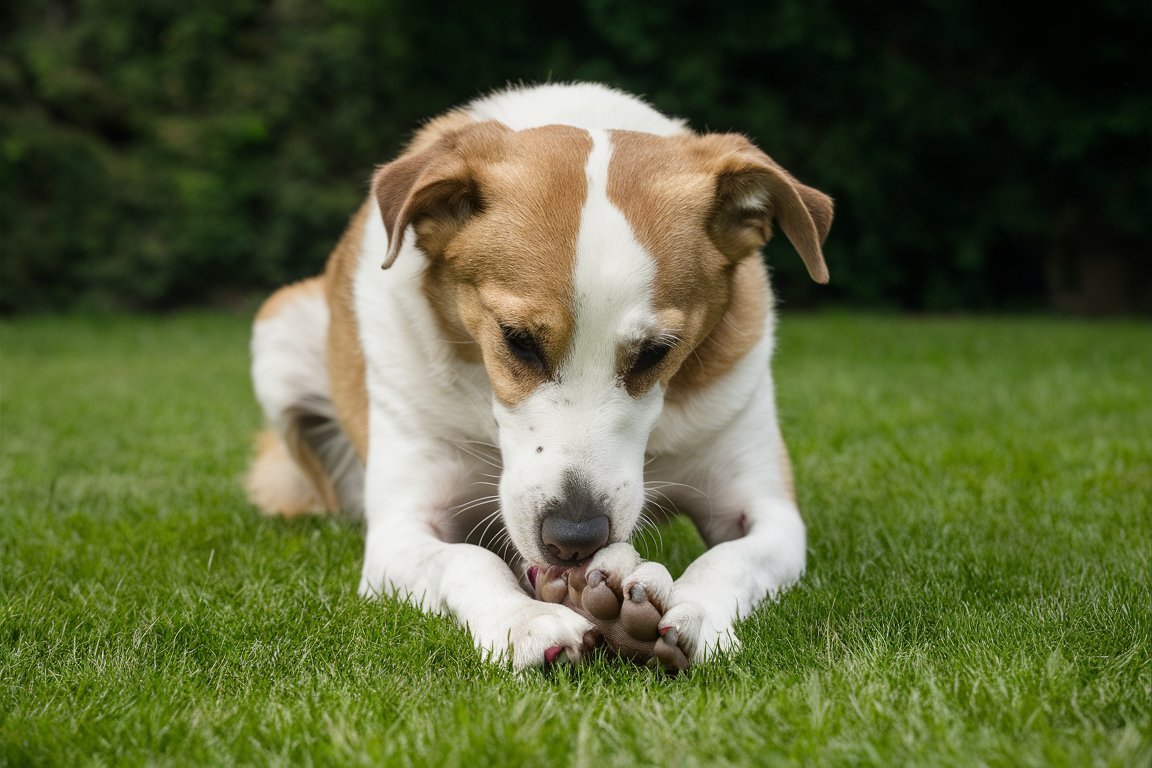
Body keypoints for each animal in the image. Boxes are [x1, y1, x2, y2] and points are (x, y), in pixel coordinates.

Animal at [247, 84, 834, 667]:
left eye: (656, 353)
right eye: (518, 341)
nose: (574, 537)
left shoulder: (766, 507)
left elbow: (733, 557)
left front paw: (694, 613)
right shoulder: (401, 528)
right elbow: (465, 559)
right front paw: (524, 619)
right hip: (277, 333)